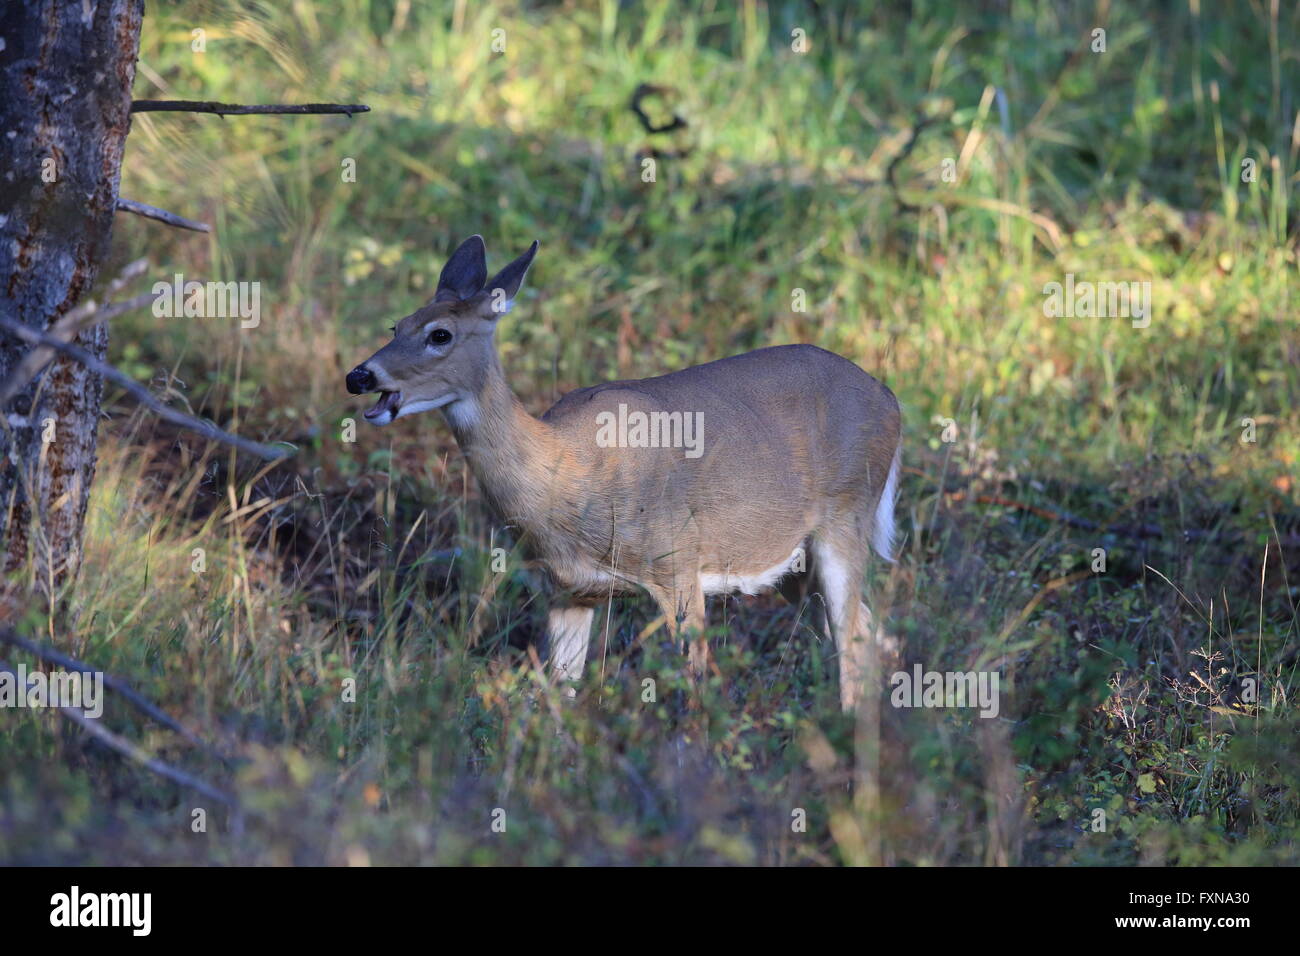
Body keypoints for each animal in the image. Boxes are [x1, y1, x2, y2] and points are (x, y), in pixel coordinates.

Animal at [346, 236, 902, 711]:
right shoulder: (567, 589)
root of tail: (890, 399)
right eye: (396, 325)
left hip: (846, 515)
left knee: (854, 639)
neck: (569, 471)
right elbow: (558, 692)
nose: (359, 376)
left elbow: (693, 688)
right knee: (871, 633)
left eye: (440, 334)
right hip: (794, 564)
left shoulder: (678, 565)